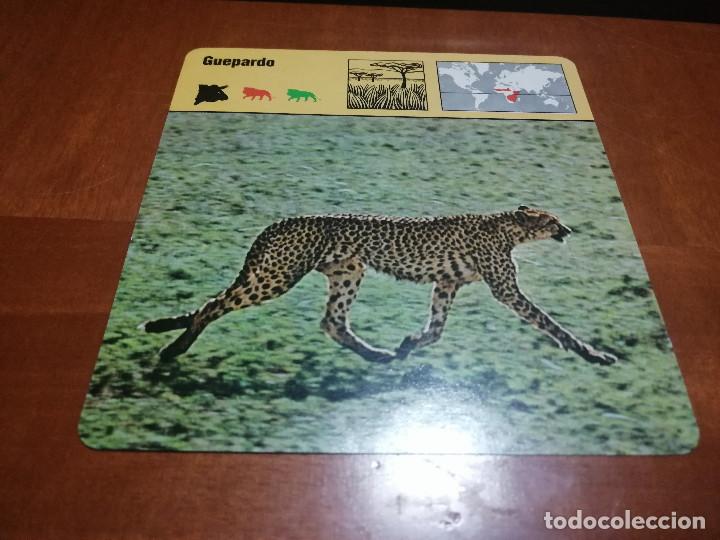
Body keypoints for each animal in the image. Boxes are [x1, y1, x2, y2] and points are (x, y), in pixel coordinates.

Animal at [141, 206, 618, 366]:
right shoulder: (504, 290)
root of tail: (279, 221)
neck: (507, 227)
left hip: (348, 272)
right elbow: (551, 323)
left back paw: (377, 355)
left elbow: (436, 329)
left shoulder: (446, 284)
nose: (568, 230)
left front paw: (408, 345)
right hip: (277, 276)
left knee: (332, 323)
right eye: (553, 221)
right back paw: (174, 349)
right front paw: (593, 354)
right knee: (213, 304)